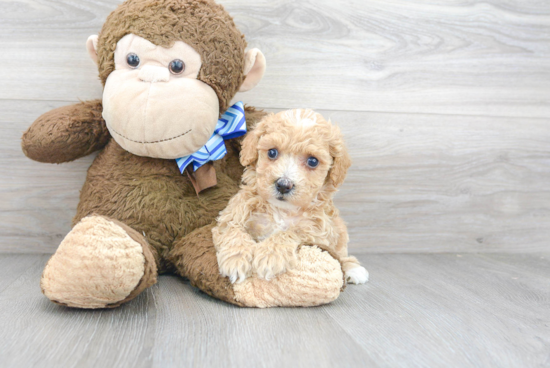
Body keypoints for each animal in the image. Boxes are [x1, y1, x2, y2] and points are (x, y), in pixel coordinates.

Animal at [213, 109, 368, 284]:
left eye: (313, 161)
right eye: (272, 152)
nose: (283, 185)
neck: (282, 210)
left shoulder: (318, 231)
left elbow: (293, 231)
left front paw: (270, 255)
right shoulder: (233, 213)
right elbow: (233, 228)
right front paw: (236, 259)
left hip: (339, 231)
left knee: (341, 254)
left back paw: (353, 268)